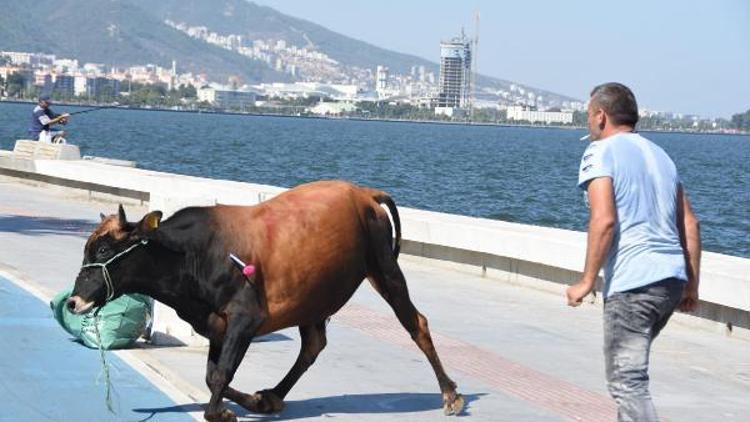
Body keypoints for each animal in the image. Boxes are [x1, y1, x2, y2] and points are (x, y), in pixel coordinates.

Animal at [67, 181, 464, 422]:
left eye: (103, 250)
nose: (73, 302)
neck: (189, 255)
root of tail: (363, 193)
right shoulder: (216, 324)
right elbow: (212, 375)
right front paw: (248, 401)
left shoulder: (246, 317)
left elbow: (220, 374)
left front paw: (221, 411)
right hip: (313, 294)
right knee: (313, 345)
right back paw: (271, 396)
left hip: (384, 268)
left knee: (416, 324)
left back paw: (449, 394)